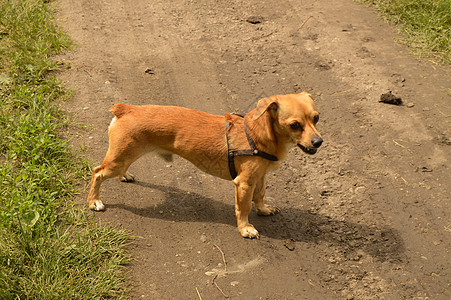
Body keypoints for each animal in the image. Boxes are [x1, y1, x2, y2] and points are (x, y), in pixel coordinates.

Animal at [86, 92, 324, 238]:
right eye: (295, 125)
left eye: (316, 118)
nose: (318, 142)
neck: (257, 133)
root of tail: (126, 109)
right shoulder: (244, 183)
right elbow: (244, 207)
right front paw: (245, 228)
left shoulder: (260, 177)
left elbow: (260, 195)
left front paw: (264, 209)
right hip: (117, 160)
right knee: (97, 173)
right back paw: (94, 201)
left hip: (124, 156)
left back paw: (125, 176)